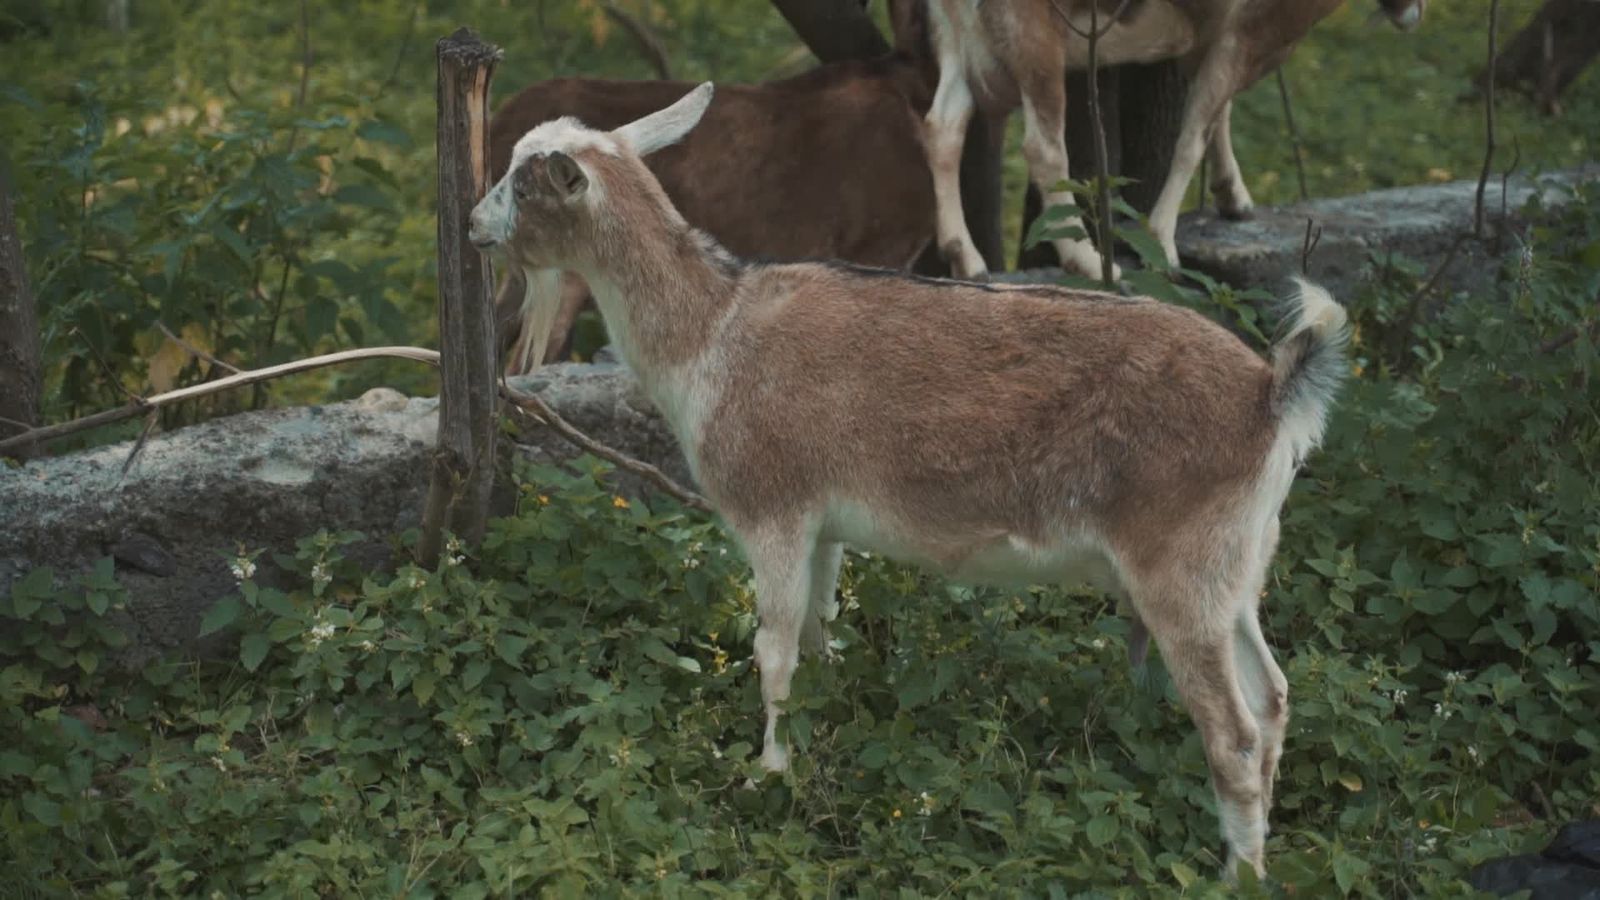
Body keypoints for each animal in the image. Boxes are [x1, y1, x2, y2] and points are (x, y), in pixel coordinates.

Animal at [469, 84, 1350, 880]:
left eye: (522, 182)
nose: (474, 224)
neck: (714, 333)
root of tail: (1272, 395)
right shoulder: (822, 524)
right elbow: (818, 638)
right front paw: (819, 741)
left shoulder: (771, 508)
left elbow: (771, 648)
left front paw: (767, 776)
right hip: (1238, 564)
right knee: (1273, 699)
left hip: (1180, 569)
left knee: (1233, 731)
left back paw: (1235, 875)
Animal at [915, 0, 1426, 279]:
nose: (1414, 13)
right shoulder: (1243, 36)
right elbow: (1193, 134)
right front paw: (1161, 241)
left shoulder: (1212, 40)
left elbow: (1217, 113)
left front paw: (1234, 197)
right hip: (1032, 37)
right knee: (1043, 149)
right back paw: (1086, 260)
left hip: (955, 36)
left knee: (943, 127)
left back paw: (965, 257)